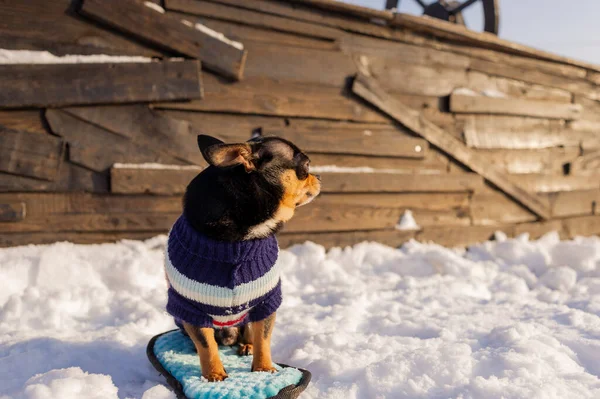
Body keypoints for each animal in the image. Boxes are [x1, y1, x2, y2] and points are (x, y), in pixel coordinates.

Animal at [164, 134, 322, 382]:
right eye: (305, 166)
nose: (319, 177)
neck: (239, 239)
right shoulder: (190, 309)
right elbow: (206, 344)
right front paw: (214, 374)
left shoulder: (265, 301)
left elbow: (263, 338)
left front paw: (264, 368)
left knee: (248, 332)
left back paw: (247, 345)